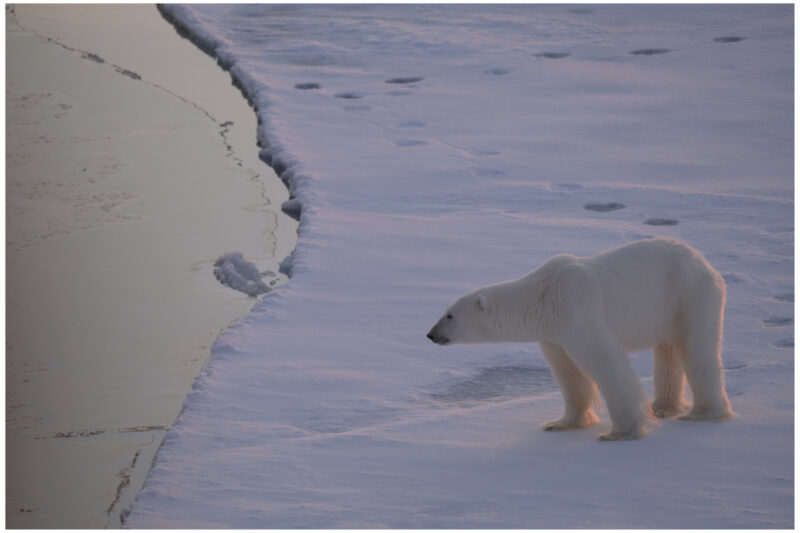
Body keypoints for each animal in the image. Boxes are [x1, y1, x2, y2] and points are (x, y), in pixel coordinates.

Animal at [427, 237, 733, 441]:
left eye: (450, 315)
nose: (430, 334)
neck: (543, 296)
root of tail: (704, 262)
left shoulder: (576, 308)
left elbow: (605, 361)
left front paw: (621, 432)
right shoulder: (554, 331)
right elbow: (568, 372)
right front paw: (562, 423)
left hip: (690, 296)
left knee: (697, 351)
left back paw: (702, 413)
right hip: (668, 308)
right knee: (668, 350)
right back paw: (663, 406)